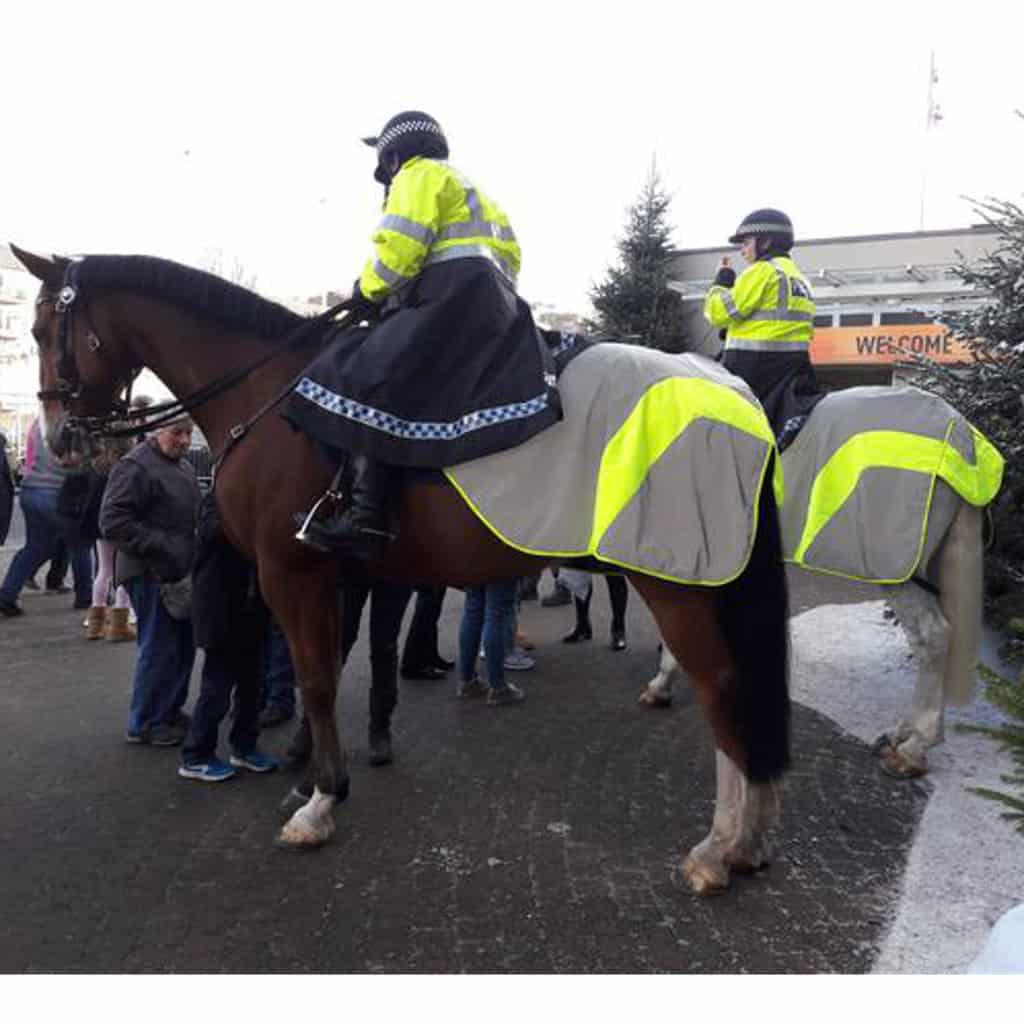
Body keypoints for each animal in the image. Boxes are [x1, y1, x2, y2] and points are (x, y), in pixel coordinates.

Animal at [9, 243, 790, 892]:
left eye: (46, 331)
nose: (60, 436)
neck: (270, 398)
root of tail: (733, 392)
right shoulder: (343, 576)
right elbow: (330, 665)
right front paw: (312, 776)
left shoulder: (291, 570)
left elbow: (318, 678)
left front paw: (320, 801)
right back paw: (751, 839)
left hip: (677, 580)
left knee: (722, 688)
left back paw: (721, 847)